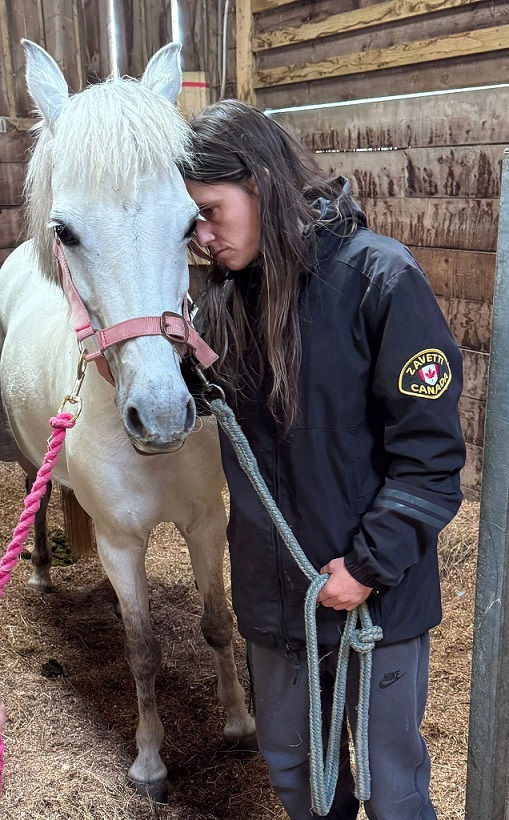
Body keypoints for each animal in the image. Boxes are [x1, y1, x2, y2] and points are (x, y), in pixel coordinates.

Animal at [0, 39, 255, 802]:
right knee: (38, 496)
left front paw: (237, 726)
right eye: (67, 231)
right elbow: (141, 651)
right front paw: (149, 761)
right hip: (31, 459)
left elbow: (216, 623)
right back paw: (43, 573)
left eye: (189, 222)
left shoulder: (205, 524)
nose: (164, 415)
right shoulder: (118, 541)